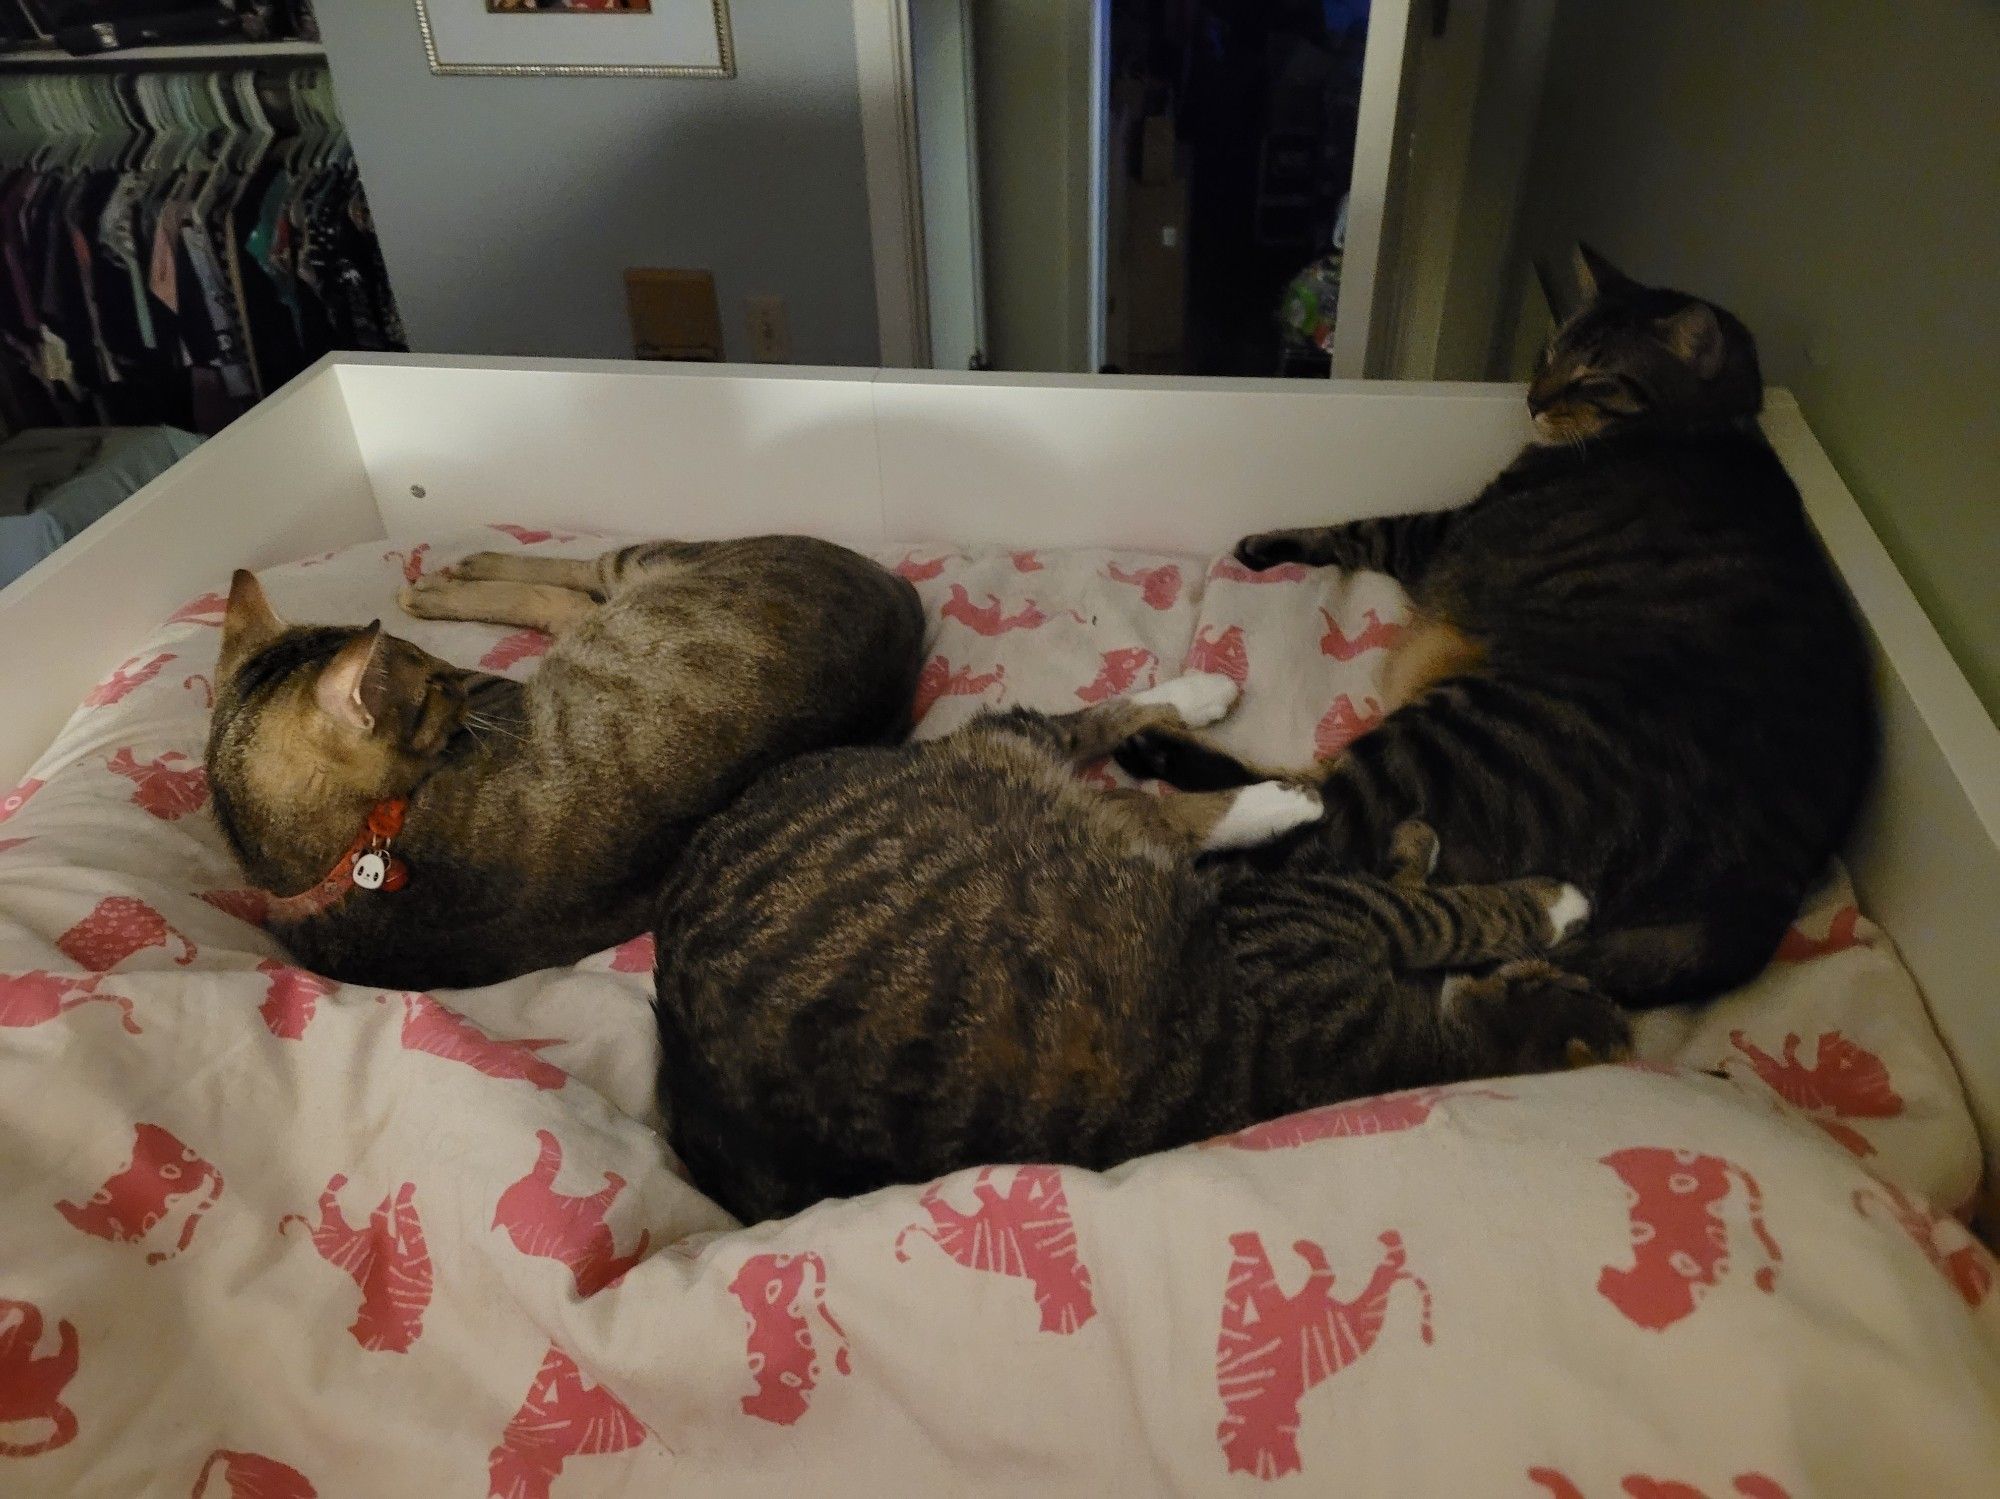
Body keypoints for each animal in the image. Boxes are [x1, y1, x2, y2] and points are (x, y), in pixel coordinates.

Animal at [203, 535, 920, 991]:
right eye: (427, 679)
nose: (443, 672)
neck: (333, 856)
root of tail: (901, 593)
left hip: (651, 566)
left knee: (582, 581)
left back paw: (453, 577)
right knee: (574, 601)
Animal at [656, 675, 1624, 1223]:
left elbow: (1408, 883)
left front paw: (1416, 844)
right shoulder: (1294, 916)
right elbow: (1442, 912)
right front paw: (1554, 900)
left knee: (1110, 781)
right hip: (1003, 777)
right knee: (1086, 751)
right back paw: (1263, 780)